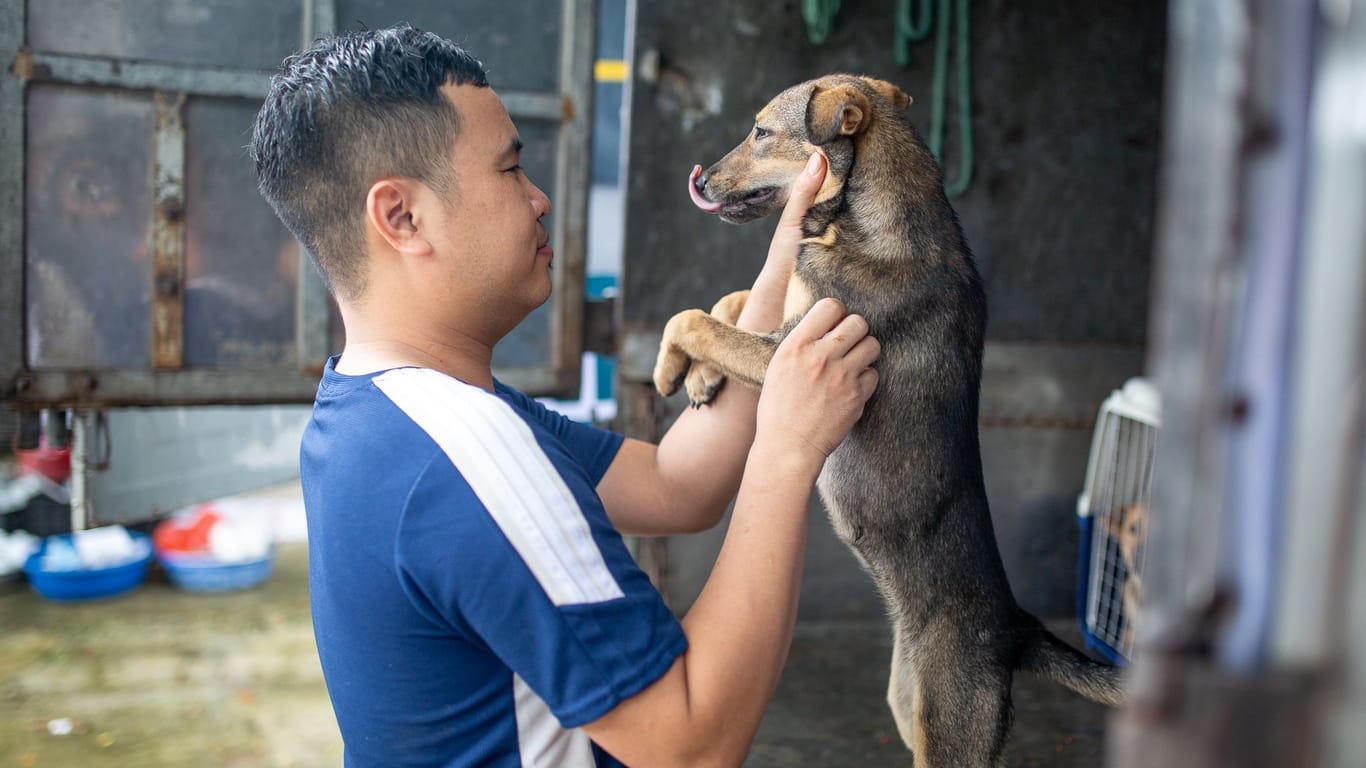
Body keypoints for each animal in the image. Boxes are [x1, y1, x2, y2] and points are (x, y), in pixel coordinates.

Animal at [655, 73, 1125, 765]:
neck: (863, 221)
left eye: (762, 132)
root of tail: (1016, 627)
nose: (702, 181)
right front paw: (694, 375)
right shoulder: (790, 313)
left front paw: (675, 367)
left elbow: (691, 316)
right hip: (910, 707)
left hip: (951, 729)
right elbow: (728, 301)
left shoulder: (789, 350)